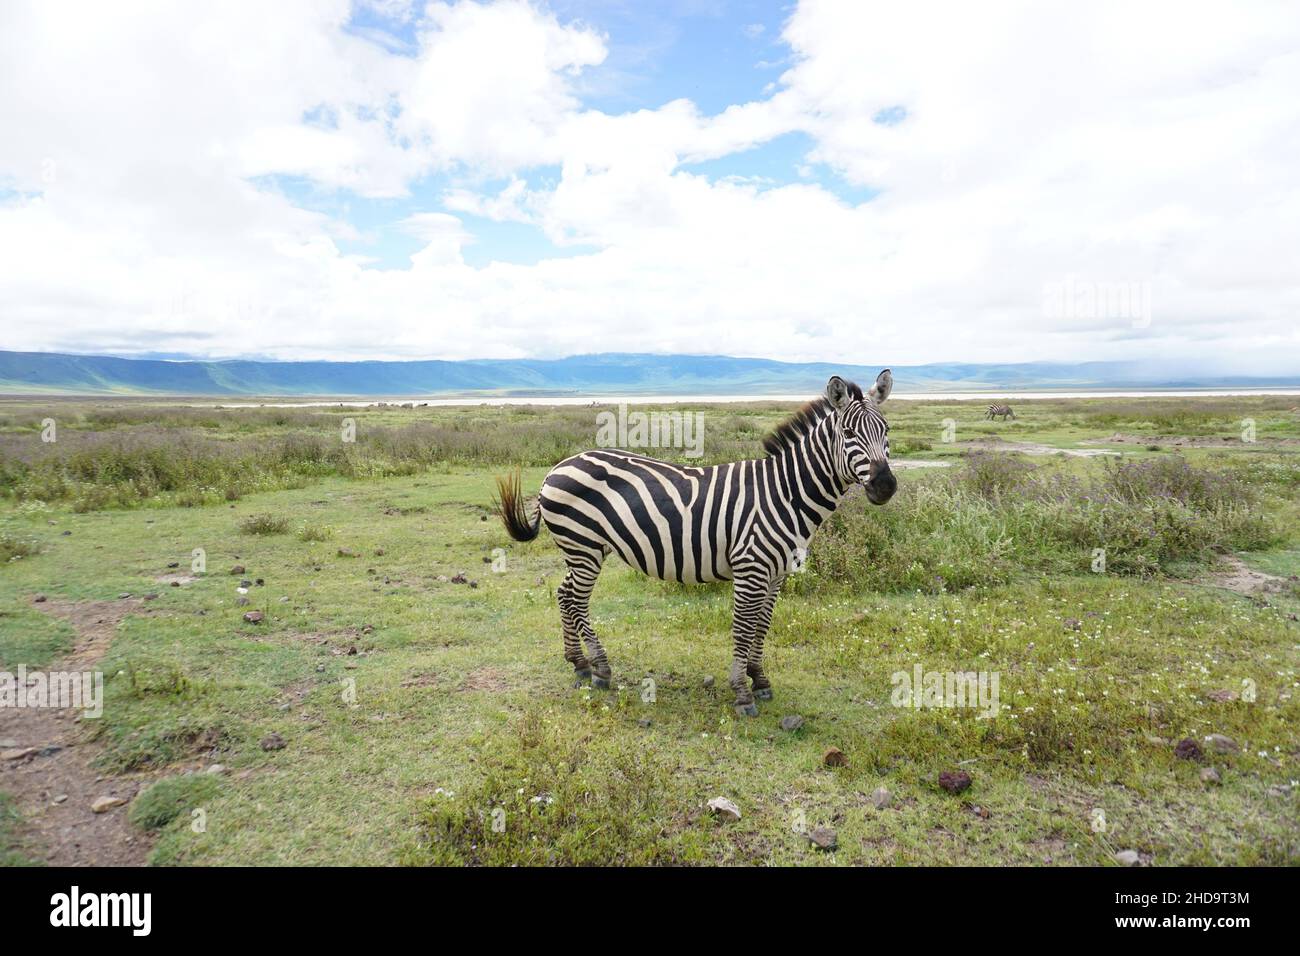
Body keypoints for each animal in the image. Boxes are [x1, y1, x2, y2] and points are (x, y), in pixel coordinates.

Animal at [493, 370, 896, 716]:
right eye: (848, 432)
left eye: (886, 430)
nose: (886, 486)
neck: (785, 493)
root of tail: (558, 466)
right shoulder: (750, 568)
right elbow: (743, 627)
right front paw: (742, 693)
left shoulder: (777, 573)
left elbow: (762, 626)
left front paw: (760, 678)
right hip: (583, 546)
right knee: (575, 600)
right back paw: (601, 669)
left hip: (583, 550)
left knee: (564, 595)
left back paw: (578, 663)